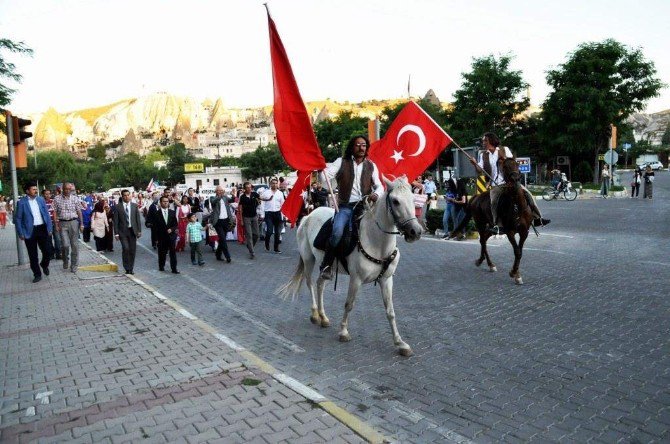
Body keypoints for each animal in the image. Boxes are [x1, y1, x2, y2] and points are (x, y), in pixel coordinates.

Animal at [278, 177, 426, 358]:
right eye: (396, 201)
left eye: (413, 198)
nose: (415, 232)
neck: (376, 242)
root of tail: (308, 216)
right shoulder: (356, 279)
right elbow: (349, 304)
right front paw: (343, 332)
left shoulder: (386, 279)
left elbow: (390, 311)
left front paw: (400, 343)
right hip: (308, 260)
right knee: (310, 284)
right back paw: (314, 314)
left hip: (326, 267)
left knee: (320, 284)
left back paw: (323, 317)